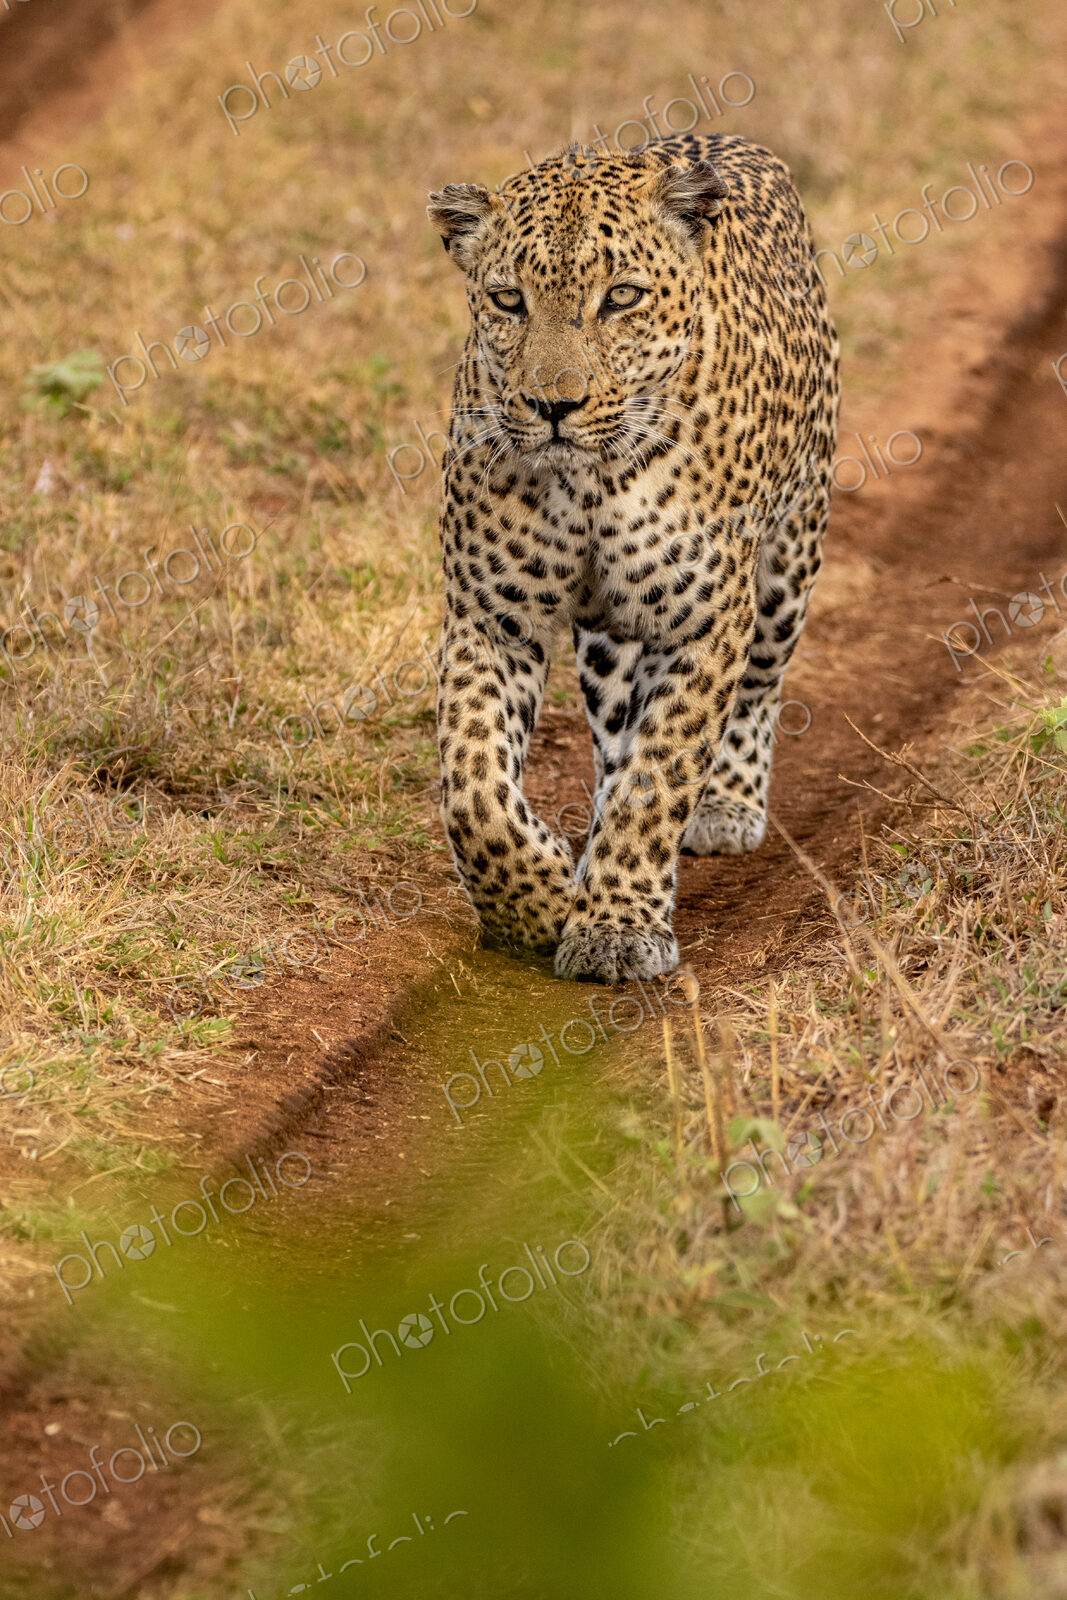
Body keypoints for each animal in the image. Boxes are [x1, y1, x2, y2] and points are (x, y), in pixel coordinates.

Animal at [426, 132, 839, 984]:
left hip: (789, 559)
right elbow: (473, 786)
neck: (588, 481)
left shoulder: (703, 621)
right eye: (507, 300)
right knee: (614, 733)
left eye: (620, 298)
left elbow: (661, 775)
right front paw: (538, 902)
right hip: (609, 640)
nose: (553, 406)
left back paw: (724, 806)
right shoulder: (492, 616)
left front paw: (615, 924)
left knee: (756, 687)